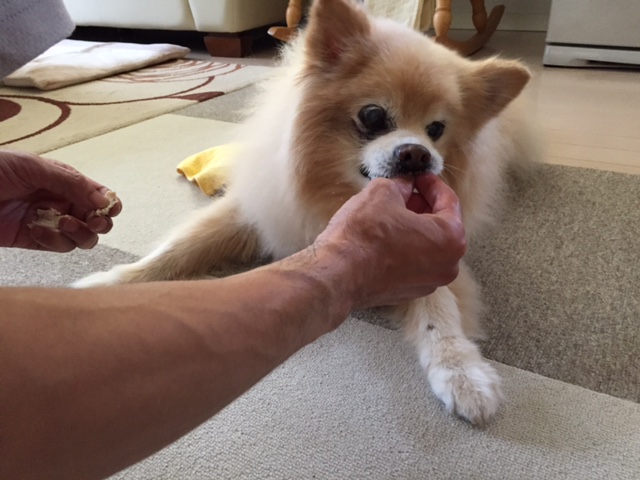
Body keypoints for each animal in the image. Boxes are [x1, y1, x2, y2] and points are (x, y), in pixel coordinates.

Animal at [75, 0, 539, 425]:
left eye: (437, 129)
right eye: (373, 116)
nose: (417, 155)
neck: (334, 195)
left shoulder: (431, 246)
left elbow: (439, 310)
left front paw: (462, 372)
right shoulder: (256, 210)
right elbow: (179, 248)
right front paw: (109, 284)